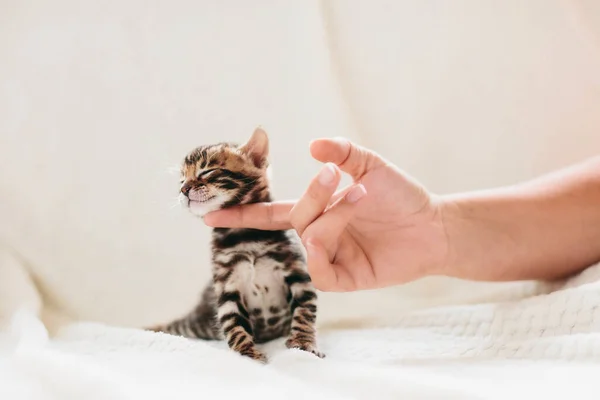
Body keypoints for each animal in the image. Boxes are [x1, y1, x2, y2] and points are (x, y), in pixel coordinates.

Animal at [149, 128, 326, 362]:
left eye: (207, 171)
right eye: (181, 180)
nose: (183, 190)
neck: (244, 236)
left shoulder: (297, 273)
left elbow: (305, 311)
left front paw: (303, 343)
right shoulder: (227, 286)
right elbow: (233, 323)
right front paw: (247, 354)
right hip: (197, 325)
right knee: (176, 325)